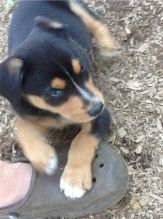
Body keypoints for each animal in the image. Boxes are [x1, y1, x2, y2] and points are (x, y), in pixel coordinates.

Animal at [0, 0, 117, 198]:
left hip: (76, 5)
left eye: (83, 69)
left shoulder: (100, 117)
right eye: (55, 92)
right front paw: (43, 157)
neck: (56, 113)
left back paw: (108, 45)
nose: (98, 107)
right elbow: (21, 127)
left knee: (95, 22)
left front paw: (74, 180)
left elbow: (81, 140)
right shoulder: (30, 113)